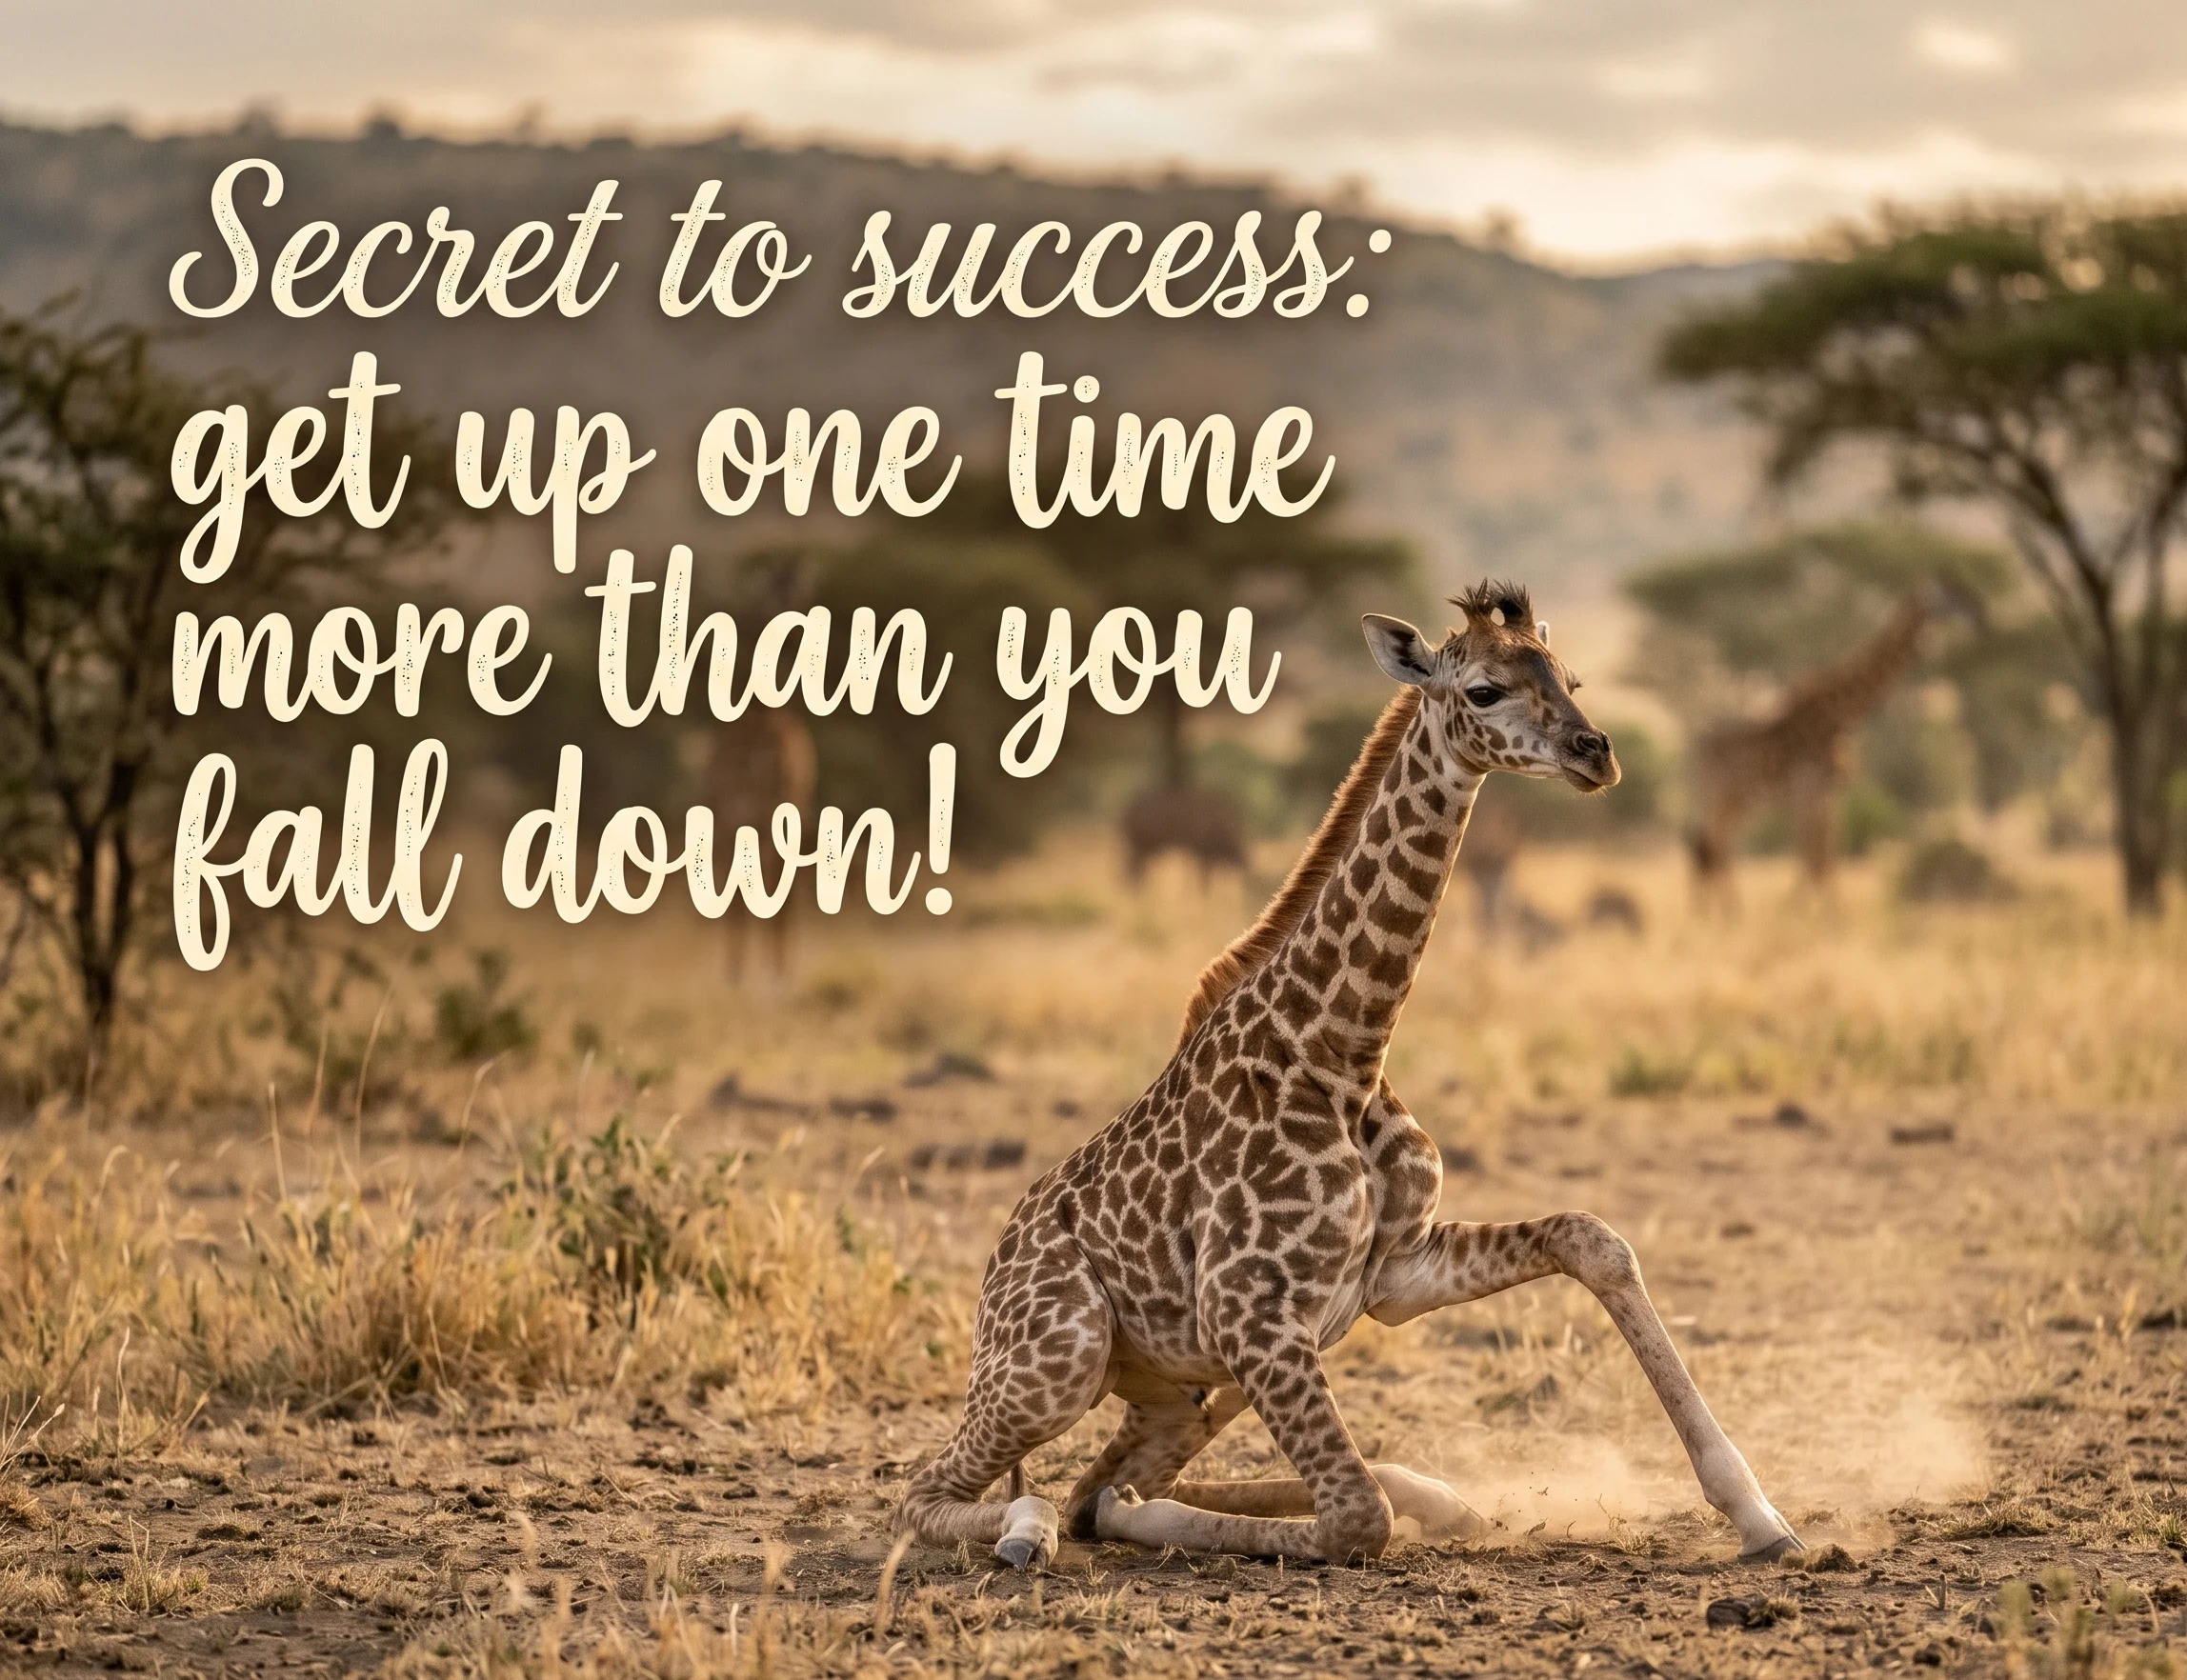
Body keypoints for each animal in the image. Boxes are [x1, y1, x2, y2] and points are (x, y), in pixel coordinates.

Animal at [895, 582, 1803, 1570]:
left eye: (1570, 680)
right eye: (1484, 691)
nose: (1594, 753)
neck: (1344, 1054)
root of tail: (997, 1265)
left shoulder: (1395, 1273)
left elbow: (1593, 1238)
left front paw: (1759, 1513)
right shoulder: (1249, 1315)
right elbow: (1358, 1516)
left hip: (1186, 1394)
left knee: (1092, 1486)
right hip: (1062, 1356)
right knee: (941, 1493)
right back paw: (1028, 1532)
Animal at [1686, 592, 1933, 897]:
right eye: (1932, 608)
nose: (1928, 645)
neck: (1838, 716)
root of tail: (1700, 752)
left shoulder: (1829, 799)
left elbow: (1823, 860)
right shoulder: (1809, 796)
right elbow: (1816, 862)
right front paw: (1800, 907)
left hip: (1738, 806)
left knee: (1716, 854)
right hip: (1722, 802)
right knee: (1714, 854)